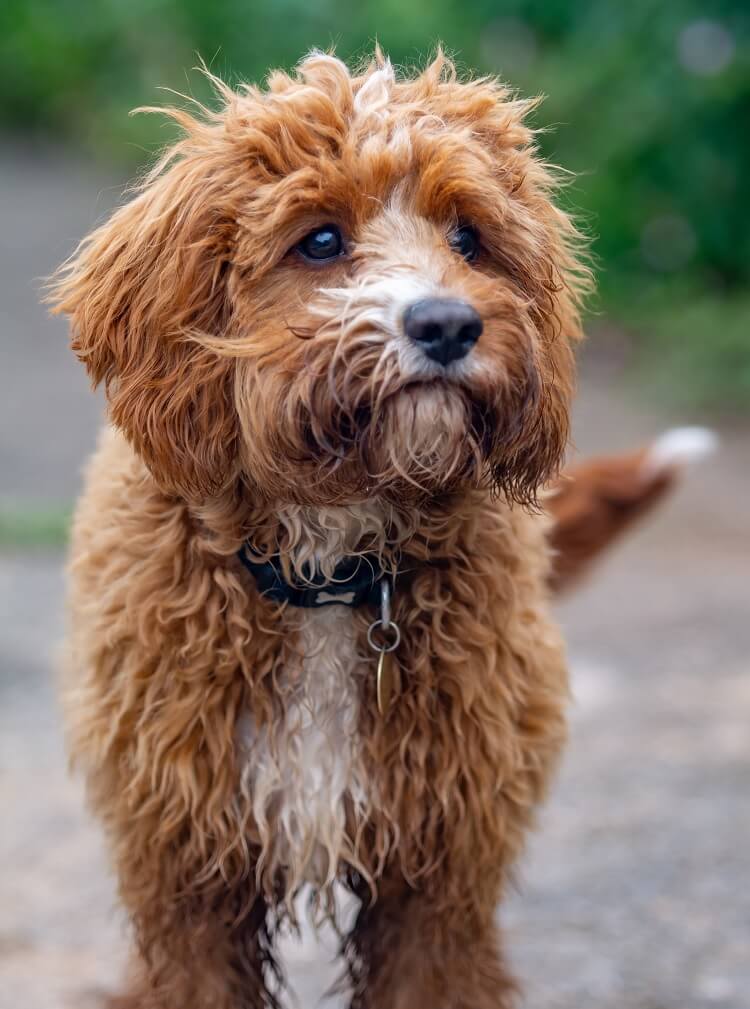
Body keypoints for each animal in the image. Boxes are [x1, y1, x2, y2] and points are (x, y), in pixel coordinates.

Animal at [46, 53, 694, 1008]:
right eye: (320, 240)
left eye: (469, 238)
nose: (447, 324)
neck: (330, 571)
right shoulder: (187, 882)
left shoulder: (440, 885)